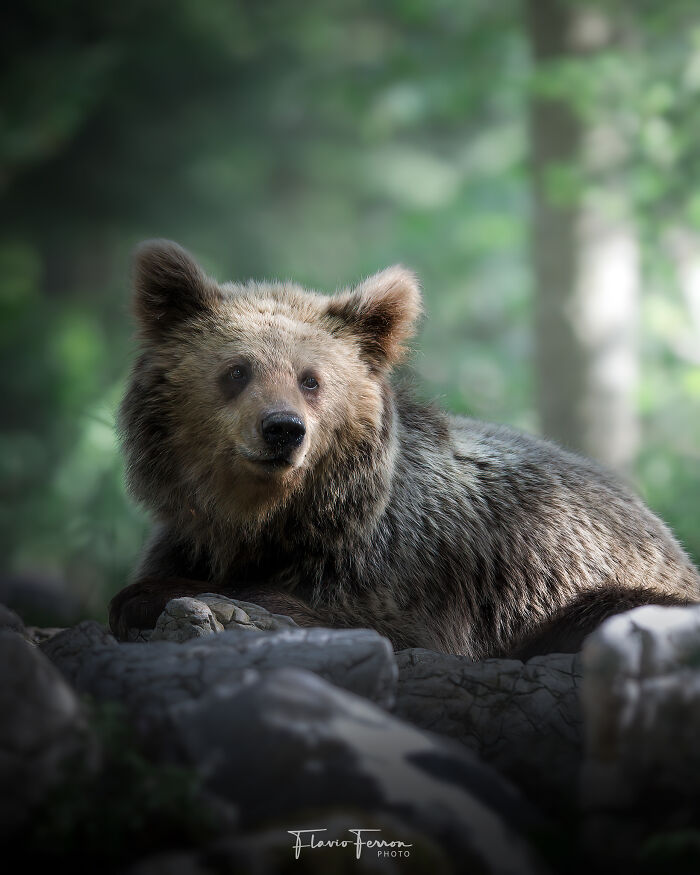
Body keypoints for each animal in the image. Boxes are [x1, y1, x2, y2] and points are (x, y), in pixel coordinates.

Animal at [109, 240, 700, 658]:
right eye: (237, 371)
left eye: (310, 379)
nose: (282, 428)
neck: (268, 518)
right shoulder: (188, 536)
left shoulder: (406, 568)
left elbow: (370, 620)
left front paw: (145, 598)